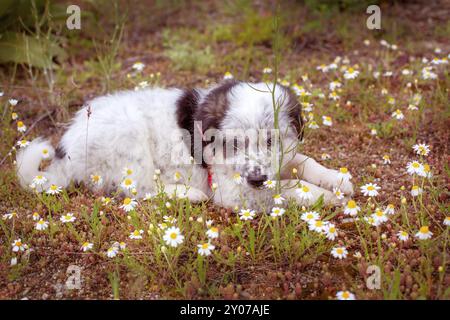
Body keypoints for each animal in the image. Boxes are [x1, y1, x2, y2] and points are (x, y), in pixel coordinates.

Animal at [15, 81, 354, 209]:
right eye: (233, 143)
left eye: (271, 140)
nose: (257, 178)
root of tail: (65, 154)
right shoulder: (235, 190)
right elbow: (289, 187)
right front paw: (328, 196)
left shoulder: (281, 160)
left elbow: (304, 162)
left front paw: (339, 181)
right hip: (131, 142)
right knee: (138, 190)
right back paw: (189, 194)